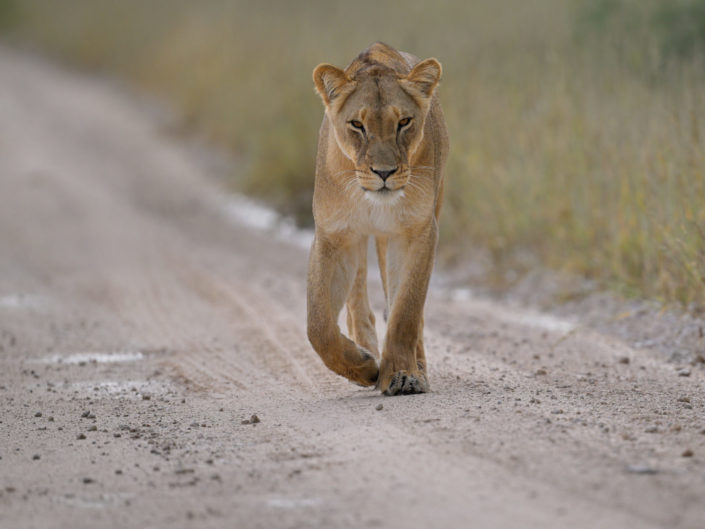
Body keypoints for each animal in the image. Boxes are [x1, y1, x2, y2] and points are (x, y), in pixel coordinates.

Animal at [307, 42, 448, 396]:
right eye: (357, 125)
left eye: (405, 122)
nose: (384, 173)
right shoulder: (332, 236)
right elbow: (318, 325)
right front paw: (363, 367)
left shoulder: (418, 231)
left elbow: (405, 310)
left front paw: (403, 374)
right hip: (357, 238)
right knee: (357, 299)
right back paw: (366, 349)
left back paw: (415, 366)